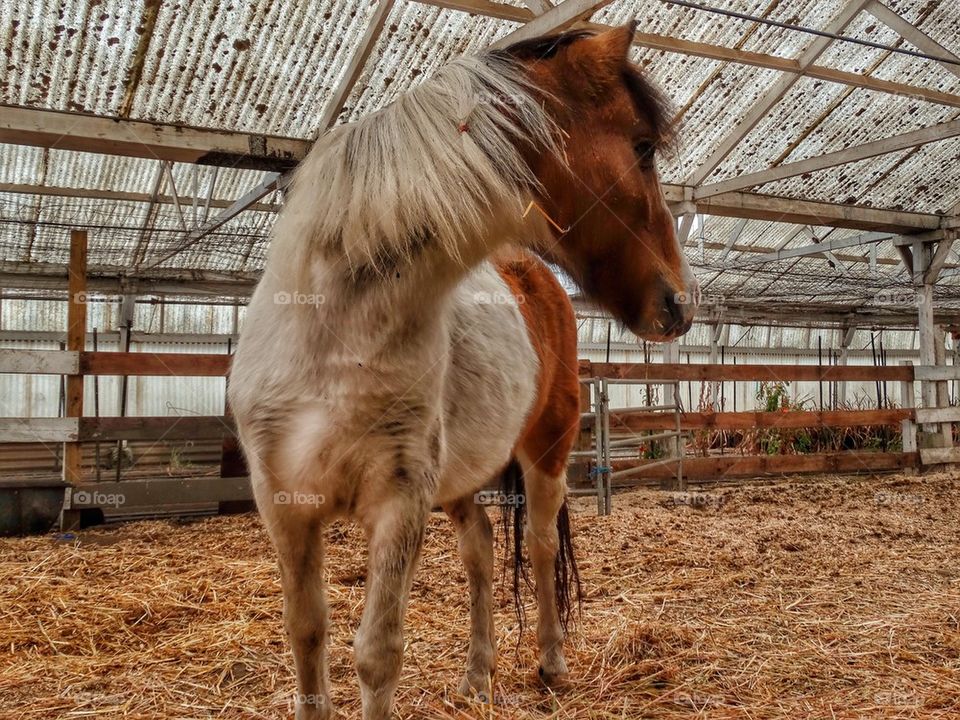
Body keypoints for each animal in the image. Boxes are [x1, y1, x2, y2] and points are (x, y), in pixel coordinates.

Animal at [228, 23, 698, 720]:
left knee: (540, 544)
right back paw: (478, 676)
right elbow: (307, 637)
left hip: (547, 451)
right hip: (460, 480)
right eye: (641, 147)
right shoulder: (283, 505)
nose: (678, 304)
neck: (335, 329)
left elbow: (377, 653)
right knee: (479, 549)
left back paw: (550, 662)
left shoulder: (399, 503)